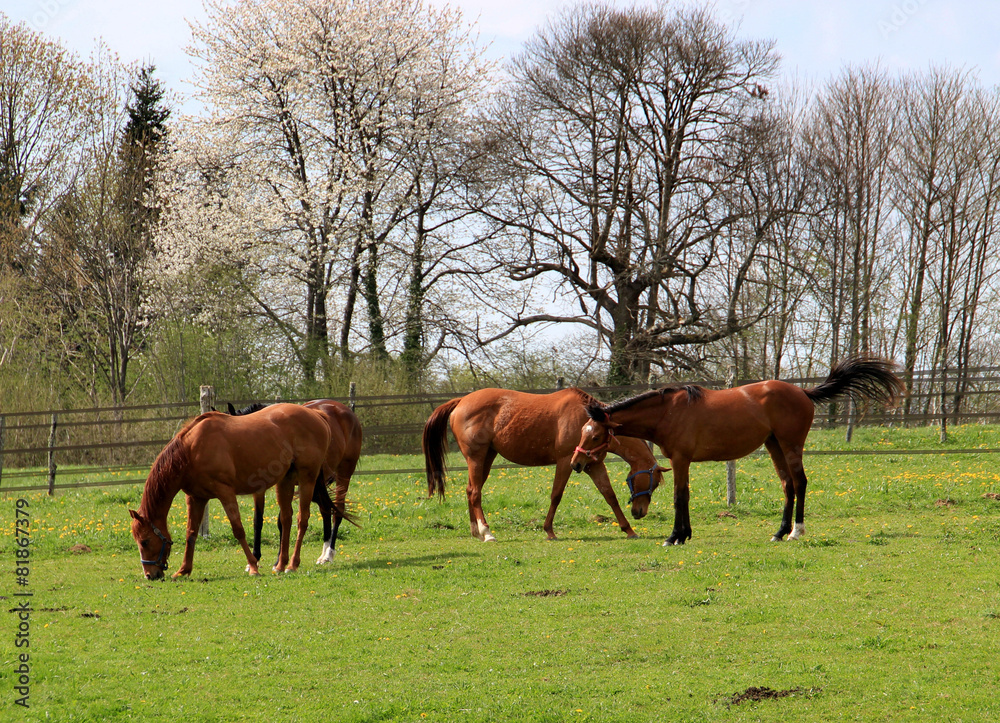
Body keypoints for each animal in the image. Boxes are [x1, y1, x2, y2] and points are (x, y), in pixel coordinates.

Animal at [127, 404, 330, 580]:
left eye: (145, 541)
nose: (150, 575)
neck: (191, 451)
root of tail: (316, 415)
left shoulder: (225, 492)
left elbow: (238, 529)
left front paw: (253, 567)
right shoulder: (196, 498)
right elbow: (191, 533)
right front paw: (184, 570)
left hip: (307, 479)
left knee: (302, 519)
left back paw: (293, 565)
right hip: (285, 480)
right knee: (287, 519)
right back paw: (281, 565)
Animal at [228, 398, 364, 568]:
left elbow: (282, 521)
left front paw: (279, 560)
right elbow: (258, 520)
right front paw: (256, 558)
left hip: (343, 475)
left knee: (337, 511)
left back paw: (329, 554)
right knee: (325, 509)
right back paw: (323, 552)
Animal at [420, 388, 664, 540]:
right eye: (654, 482)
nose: (639, 512)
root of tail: (461, 401)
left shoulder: (592, 465)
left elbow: (609, 495)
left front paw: (628, 529)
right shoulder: (567, 461)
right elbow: (556, 495)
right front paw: (549, 531)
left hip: (486, 458)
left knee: (471, 489)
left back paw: (476, 531)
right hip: (476, 458)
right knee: (475, 493)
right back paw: (487, 532)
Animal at [572, 356, 908, 544]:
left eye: (594, 436)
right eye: (583, 432)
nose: (576, 462)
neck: (668, 411)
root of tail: (802, 391)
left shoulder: (681, 459)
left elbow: (680, 497)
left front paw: (675, 537)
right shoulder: (683, 461)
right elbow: (685, 495)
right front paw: (685, 535)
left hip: (790, 445)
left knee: (799, 483)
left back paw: (796, 532)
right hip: (773, 445)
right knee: (788, 485)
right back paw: (779, 532)